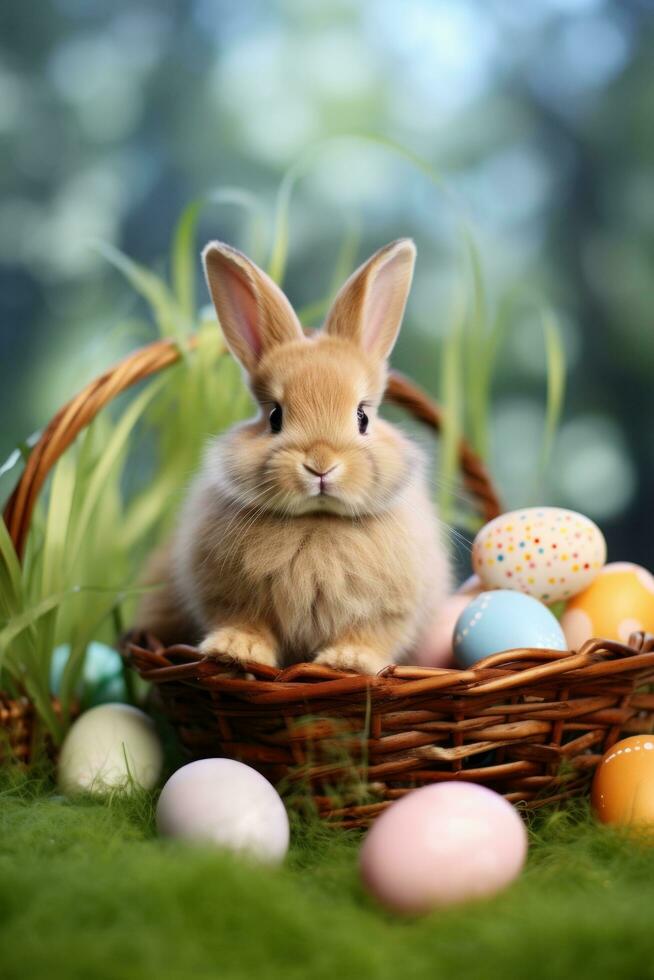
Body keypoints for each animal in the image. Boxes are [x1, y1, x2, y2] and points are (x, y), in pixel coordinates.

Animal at [136, 241, 454, 676]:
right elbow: (244, 621)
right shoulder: (229, 598)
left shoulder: (389, 612)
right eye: (275, 416)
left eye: (362, 417)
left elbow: (370, 634)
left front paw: (349, 662)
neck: (316, 521)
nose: (320, 465)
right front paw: (235, 650)